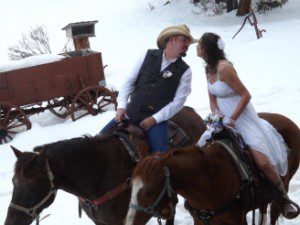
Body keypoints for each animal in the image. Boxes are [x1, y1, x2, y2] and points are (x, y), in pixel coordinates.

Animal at [126, 112, 300, 225]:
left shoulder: (236, 219)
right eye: (131, 186)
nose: (129, 222)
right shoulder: (200, 220)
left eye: (149, 191)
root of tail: (289, 122)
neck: (210, 177)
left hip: (281, 191)